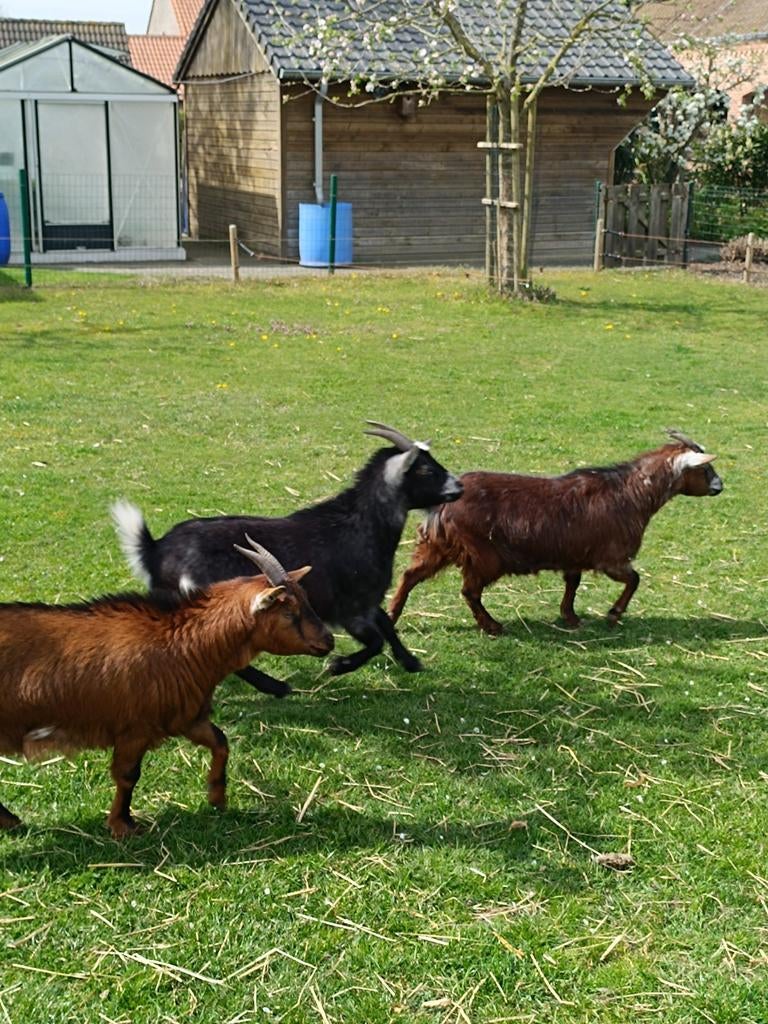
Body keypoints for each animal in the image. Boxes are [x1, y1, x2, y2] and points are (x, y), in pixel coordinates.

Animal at [0, 539, 333, 836]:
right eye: (288, 612)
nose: (328, 641)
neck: (179, 643)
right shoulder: (135, 728)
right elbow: (127, 775)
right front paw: (122, 824)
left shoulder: (185, 717)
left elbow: (220, 742)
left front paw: (217, 797)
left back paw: (10, 820)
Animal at [112, 422, 463, 695]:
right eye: (426, 469)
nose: (458, 486)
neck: (360, 525)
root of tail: (154, 550)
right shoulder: (350, 610)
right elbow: (375, 641)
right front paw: (337, 666)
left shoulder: (366, 601)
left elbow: (387, 625)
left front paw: (411, 661)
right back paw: (276, 687)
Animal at [389, 430, 723, 635]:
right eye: (704, 469)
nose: (720, 486)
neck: (630, 494)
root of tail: (442, 503)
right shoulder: (611, 559)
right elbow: (634, 579)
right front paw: (613, 614)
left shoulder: (574, 555)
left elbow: (572, 584)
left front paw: (570, 617)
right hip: (483, 555)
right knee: (469, 591)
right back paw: (492, 626)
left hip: (436, 545)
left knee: (410, 575)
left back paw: (392, 616)